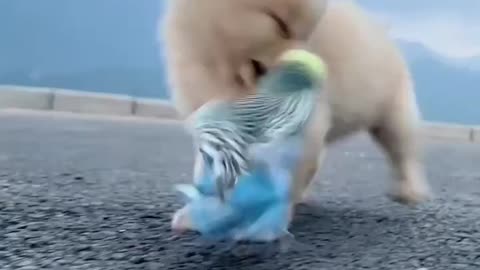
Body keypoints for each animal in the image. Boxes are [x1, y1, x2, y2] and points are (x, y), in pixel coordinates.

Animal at [161, 0, 432, 230]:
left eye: (308, 33)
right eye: (280, 23)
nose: (313, 72)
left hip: (395, 110)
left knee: (402, 152)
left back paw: (408, 190)